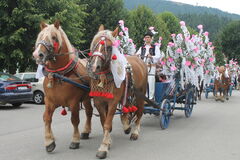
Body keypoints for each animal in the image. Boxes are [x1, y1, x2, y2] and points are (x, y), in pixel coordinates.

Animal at [31, 21, 92, 152]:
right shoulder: (49, 101)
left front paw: (75, 140)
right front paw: (49, 141)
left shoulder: (74, 102)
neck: (58, 74)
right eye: (40, 36)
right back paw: (86, 132)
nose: (37, 54)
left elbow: (75, 120)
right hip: (86, 98)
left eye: (54, 37)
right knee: (89, 112)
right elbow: (47, 118)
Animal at [87, 25, 148, 159]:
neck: (104, 77)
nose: (94, 66)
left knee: (139, 112)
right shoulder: (99, 102)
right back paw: (126, 125)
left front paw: (103, 147)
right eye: (94, 44)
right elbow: (104, 122)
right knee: (127, 108)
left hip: (141, 94)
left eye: (109, 47)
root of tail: (139, 60)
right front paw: (108, 141)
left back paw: (135, 131)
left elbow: (107, 124)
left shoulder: (113, 102)